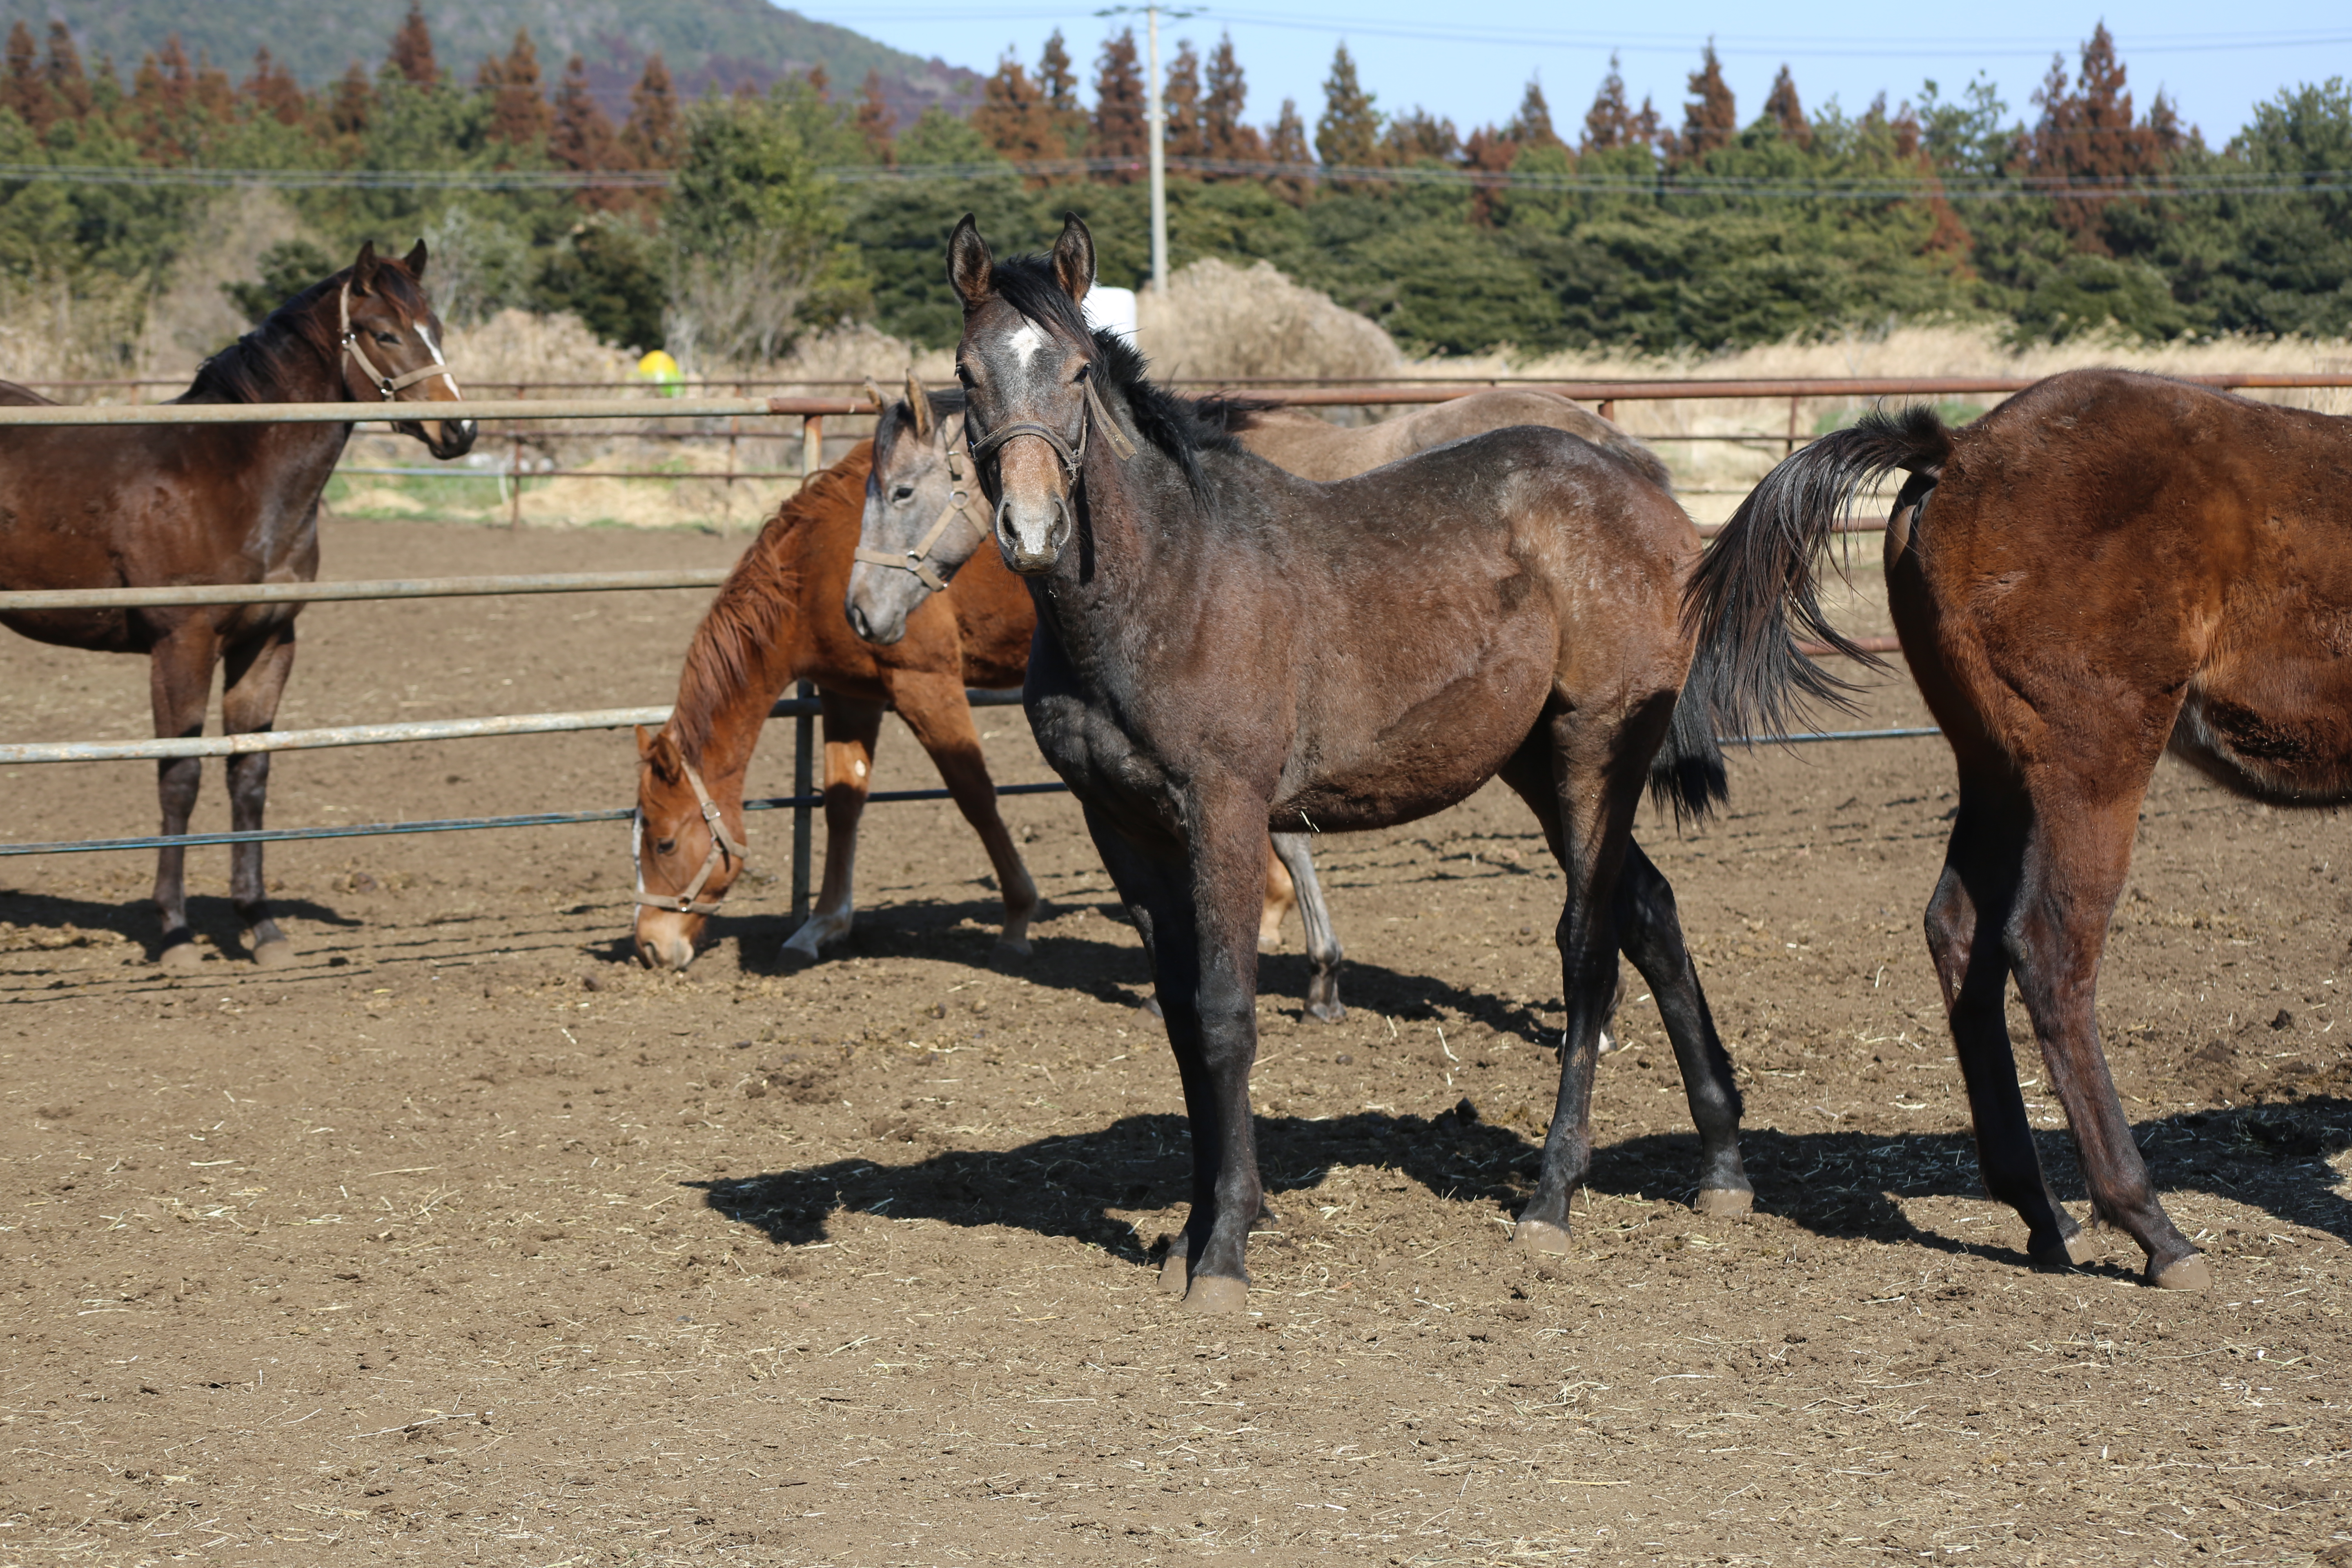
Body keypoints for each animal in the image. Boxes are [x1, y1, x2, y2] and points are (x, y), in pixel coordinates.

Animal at [0, 242, 472, 968]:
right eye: (383, 333)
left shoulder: (268, 643)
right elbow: (180, 778)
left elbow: (249, 773)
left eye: (436, 329)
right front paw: (174, 933)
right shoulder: (182, 645)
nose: (460, 429)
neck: (232, 476)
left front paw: (262, 925)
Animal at [941, 212, 1750, 1316]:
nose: (1030, 531)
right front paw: (1196, 1228)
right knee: (1652, 913)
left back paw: (1550, 1202)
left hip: (1594, 752)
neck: (1164, 583)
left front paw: (1224, 1253)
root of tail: (1645, 489)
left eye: (1074, 371)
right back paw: (1722, 1167)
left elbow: (1226, 1016)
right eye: (965, 374)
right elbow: (1179, 1021)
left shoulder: (1225, 810)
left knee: (1589, 945)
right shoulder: (1124, 827)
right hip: (1536, 764)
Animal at [1684, 371, 2352, 1297]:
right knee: (2050, 951)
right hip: (2093, 763)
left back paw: (2040, 1209)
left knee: (1960, 931)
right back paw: (2153, 1228)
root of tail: (1961, 449)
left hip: (1995, 767)